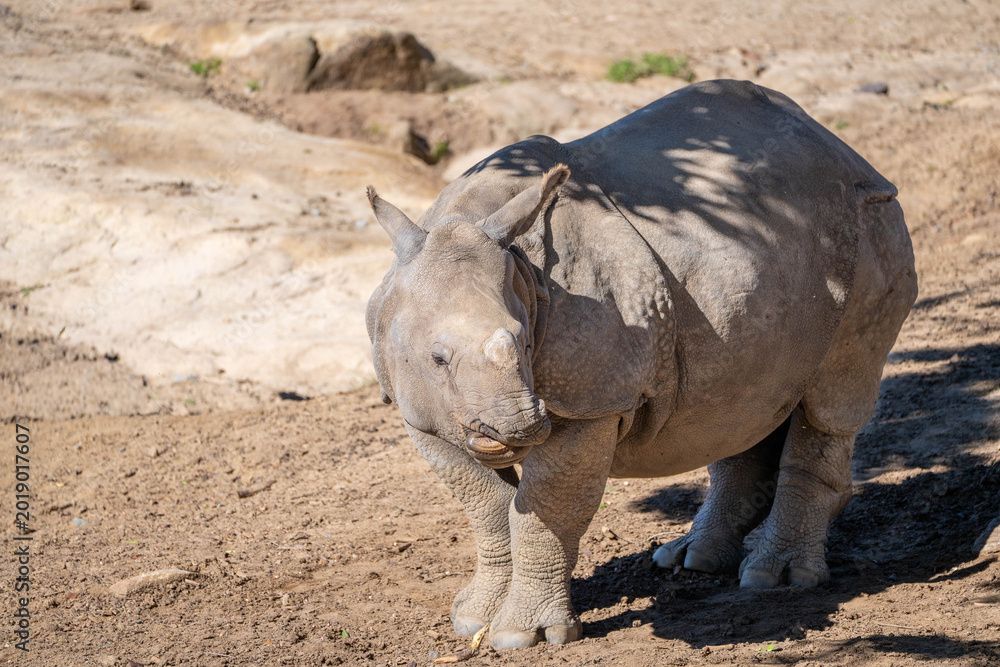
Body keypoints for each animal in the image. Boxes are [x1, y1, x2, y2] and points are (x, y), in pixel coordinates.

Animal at [365, 80, 917, 650]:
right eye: (437, 358)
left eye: (524, 346)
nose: (520, 426)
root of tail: (843, 149)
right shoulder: (420, 414)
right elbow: (489, 509)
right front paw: (472, 620)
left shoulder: (591, 401)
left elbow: (543, 511)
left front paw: (523, 636)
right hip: (766, 250)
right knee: (744, 400)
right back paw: (692, 561)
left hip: (872, 221)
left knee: (831, 399)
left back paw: (776, 578)